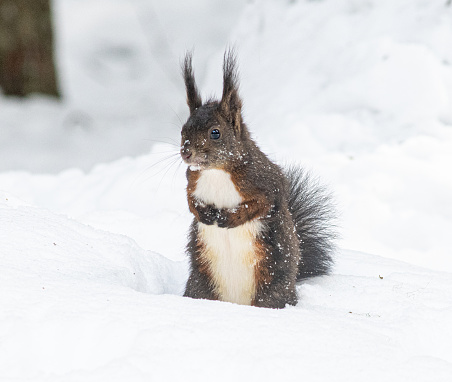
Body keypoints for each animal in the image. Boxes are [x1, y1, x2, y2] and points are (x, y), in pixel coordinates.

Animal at [178, 50, 334, 308]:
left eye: (215, 133)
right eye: (183, 130)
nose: (186, 153)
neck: (216, 171)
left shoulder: (266, 181)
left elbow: (262, 204)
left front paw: (229, 217)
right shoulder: (192, 181)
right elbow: (190, 202)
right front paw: (204, 213)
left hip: (270, 289)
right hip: (200, 286)